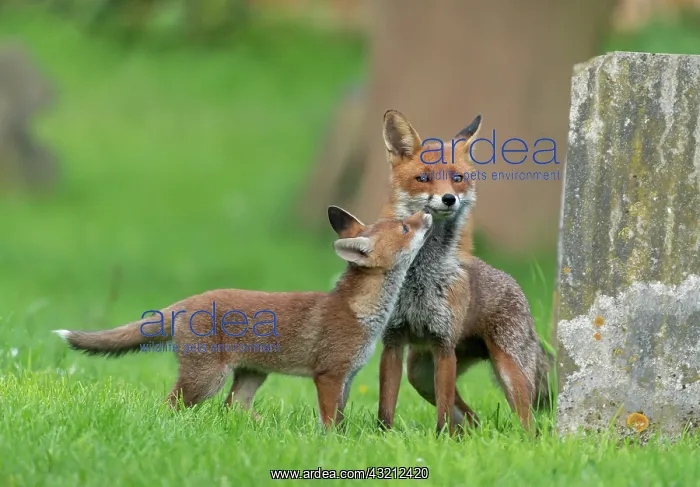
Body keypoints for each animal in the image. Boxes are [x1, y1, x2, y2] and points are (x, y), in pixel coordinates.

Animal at [54, 206, 433, 429]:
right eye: (404, 228)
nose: (428, 212)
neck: (360, 312)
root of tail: (187, 301)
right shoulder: (328, 375)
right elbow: (328, 423)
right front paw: (329, 447)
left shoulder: (348, 376)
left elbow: (339, 420)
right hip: (207, 379)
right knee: (172, 405)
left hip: (251, 375)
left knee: (232, 407)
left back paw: (265, 428)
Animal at [374, 110, 552, 436]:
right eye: (423, 178)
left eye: (457, 178)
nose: (449, 199)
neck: (421, 278)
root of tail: (514, 284)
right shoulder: (393, 342)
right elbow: (385, 408)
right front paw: (383, 438)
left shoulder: (444, 345)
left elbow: (443, 414)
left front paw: (439, 440)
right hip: (419, 374)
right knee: (474, 419)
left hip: (510, 373)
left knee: (527, 426)